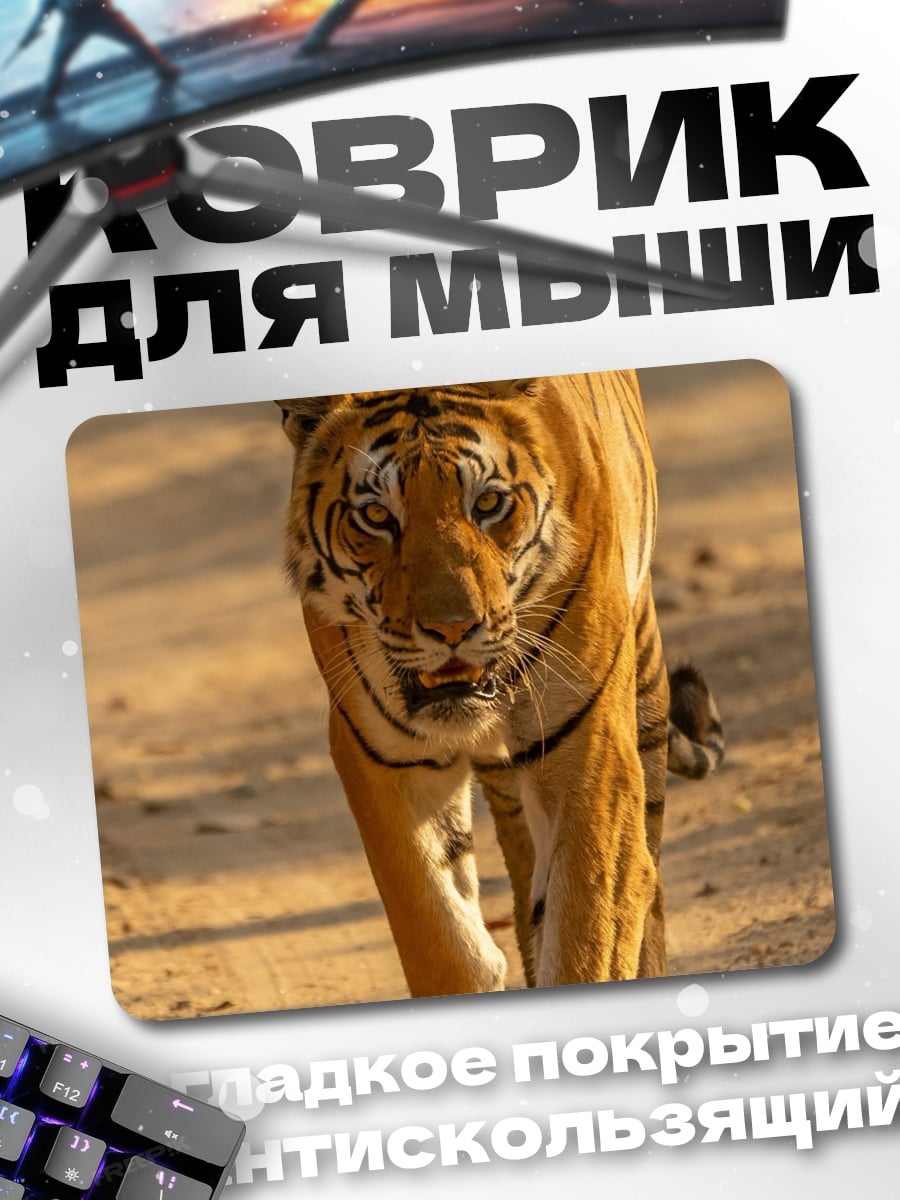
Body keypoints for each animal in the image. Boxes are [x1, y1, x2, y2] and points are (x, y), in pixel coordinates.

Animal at [277, 371, 723, 998]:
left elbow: (587, 928)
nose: (452, 628)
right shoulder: (382, 758)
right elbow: (441, 941)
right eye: (377, 516)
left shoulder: (589, 749)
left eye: (487, 504)